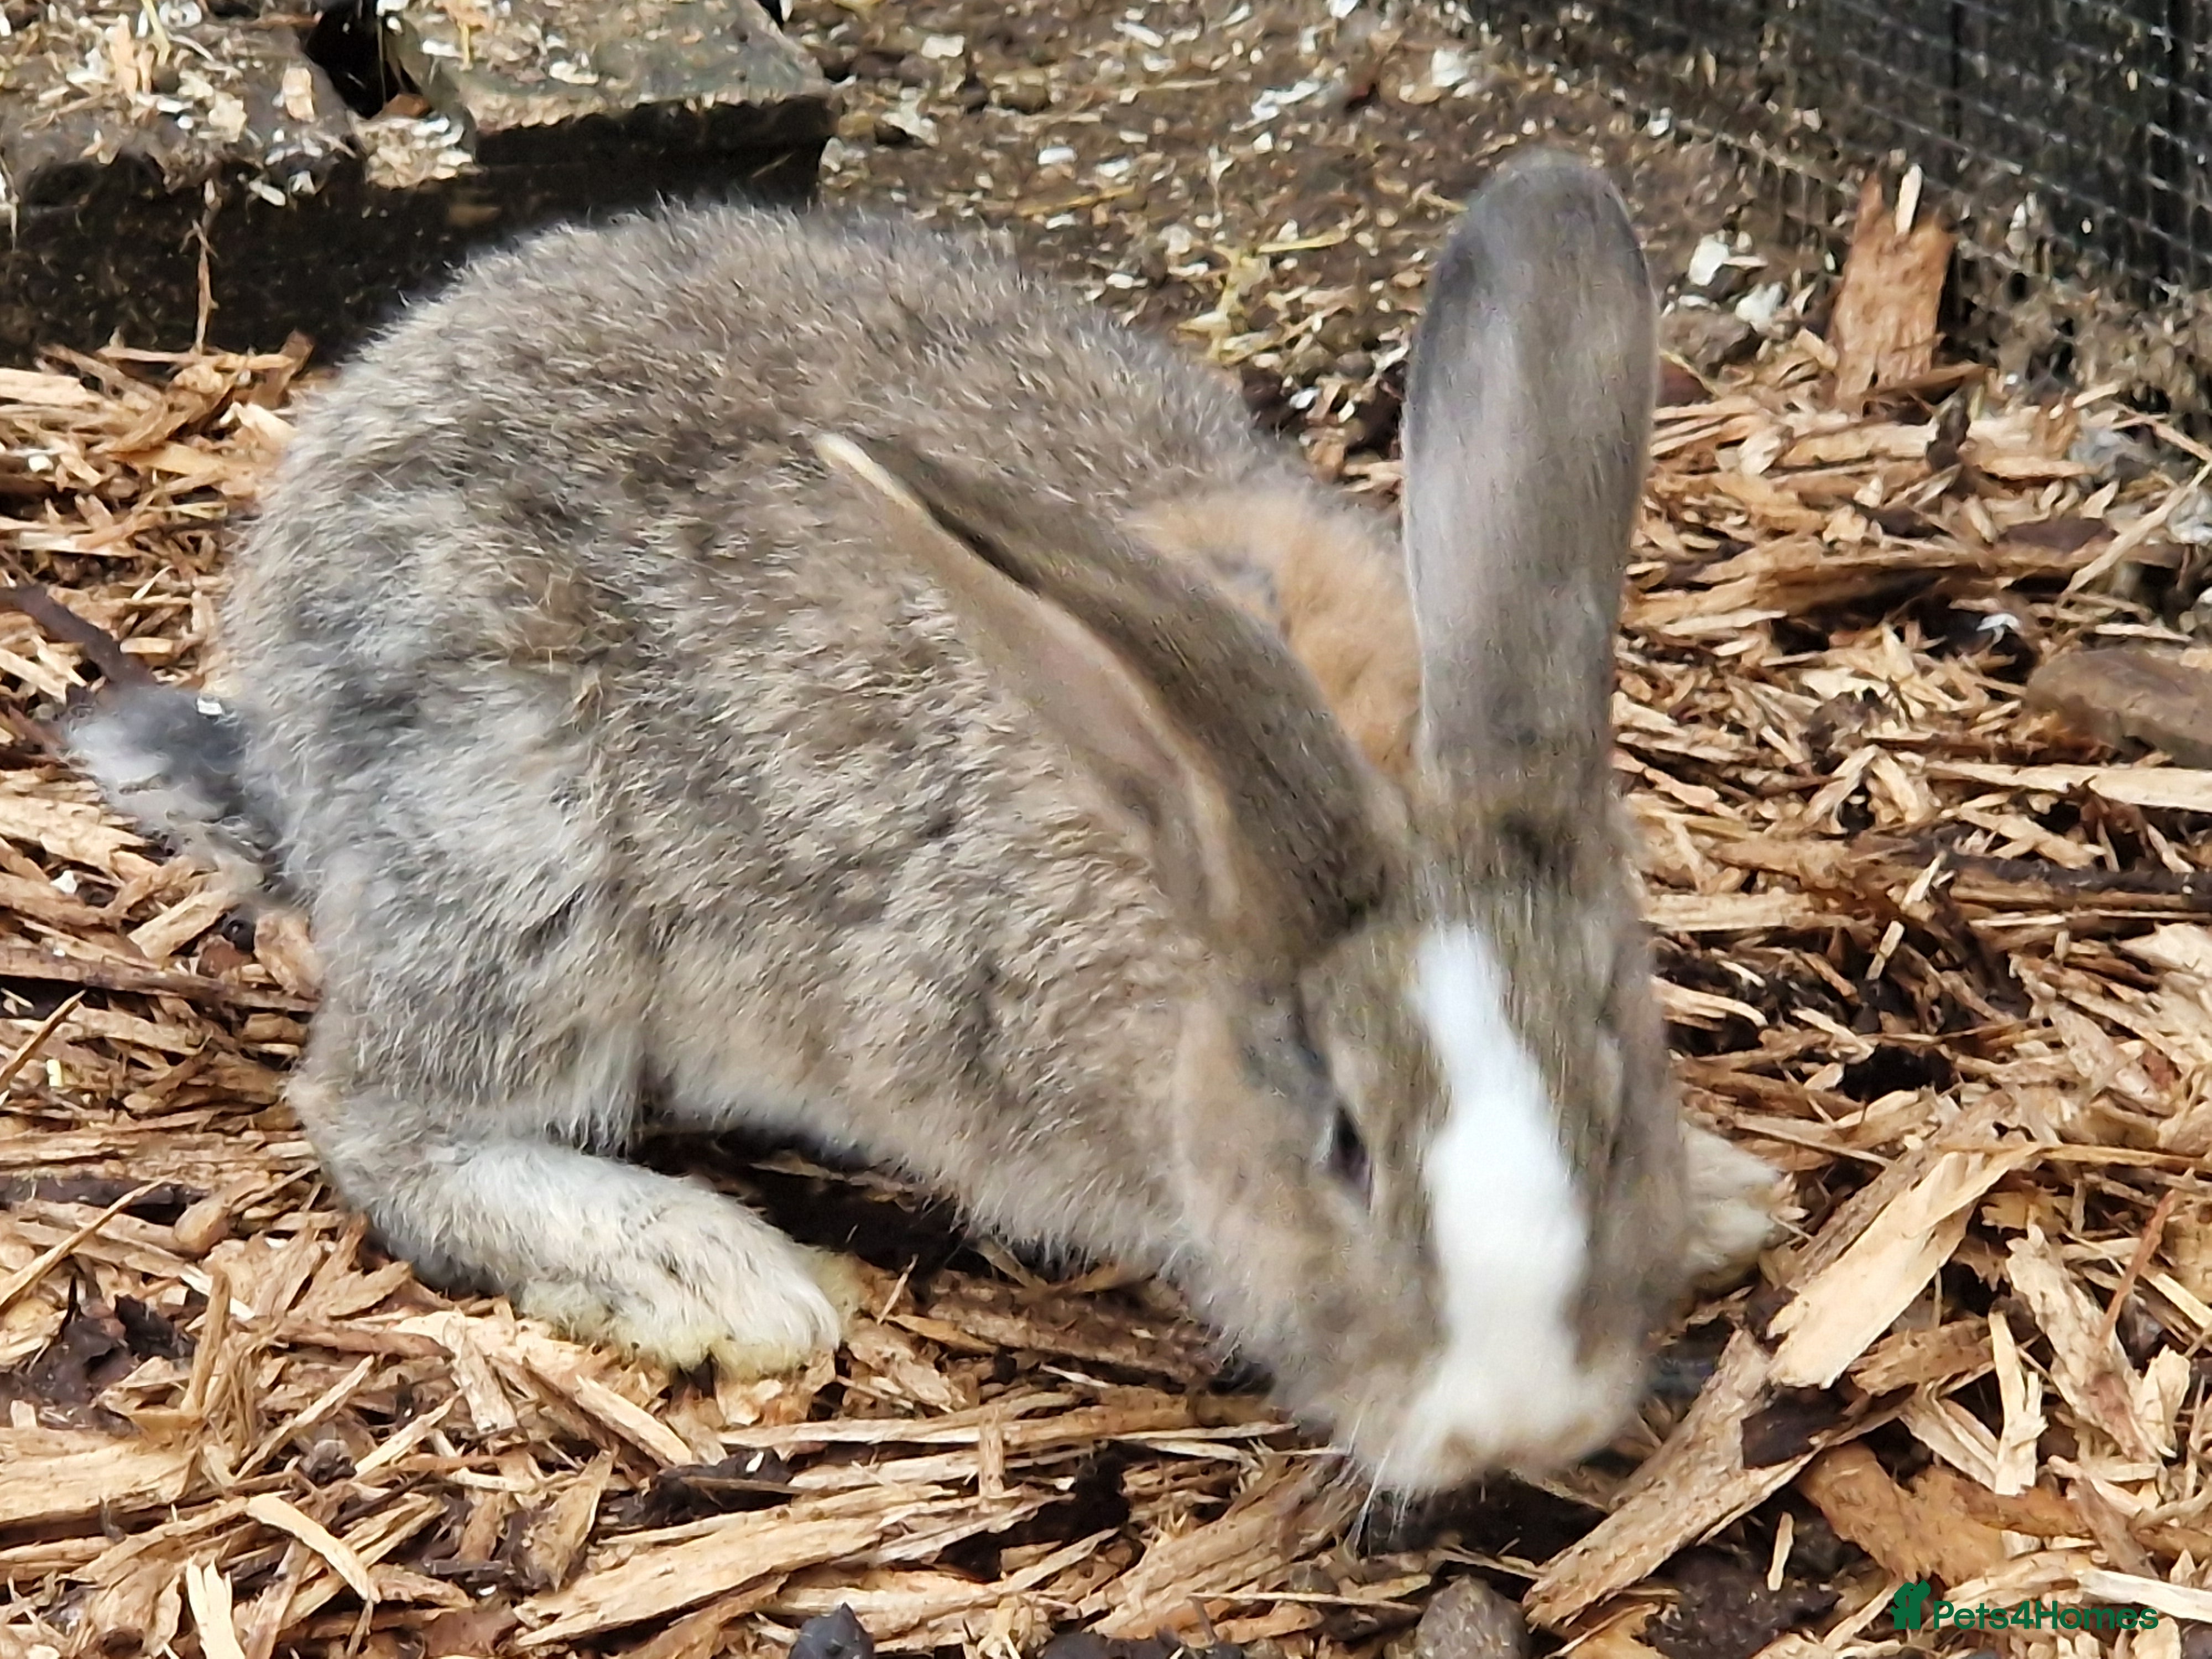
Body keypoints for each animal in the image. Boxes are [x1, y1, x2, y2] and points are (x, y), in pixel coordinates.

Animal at [70, 147, 1782, 1493]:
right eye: (1345, 1148)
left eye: (1619, 1096)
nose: (1522, 1426)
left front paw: (1724, 1203)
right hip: (511, 840)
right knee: (384, 1113)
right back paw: (715, 1274)